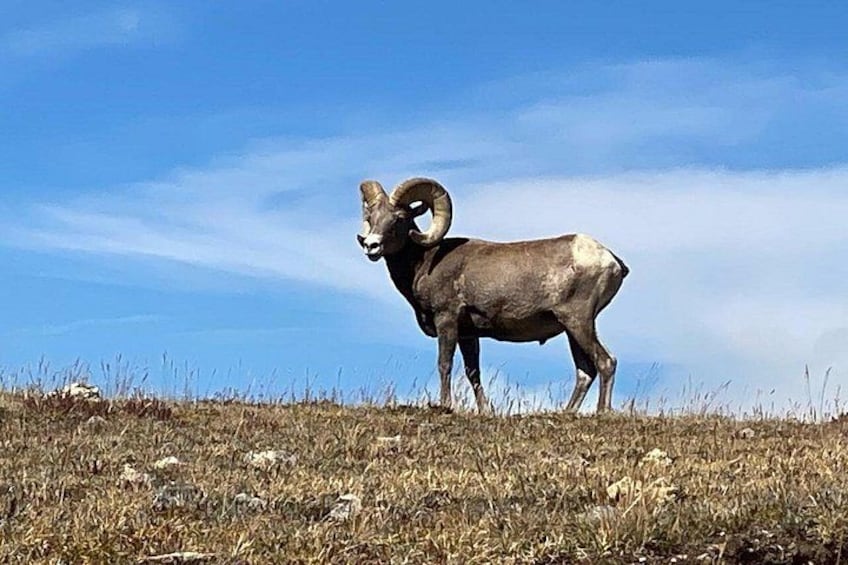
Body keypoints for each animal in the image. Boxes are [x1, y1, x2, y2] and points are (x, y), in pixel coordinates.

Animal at [357, 177, 629, 413]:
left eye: (399, 218)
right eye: (371, 217)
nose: (371, 245)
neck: (424, 262)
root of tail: (610, 260)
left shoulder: (447, 320)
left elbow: (445, 364)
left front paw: (445, 405)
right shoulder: (468, 334)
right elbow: (473, 372)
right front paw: (484, 410)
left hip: (578, 321)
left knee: (605, 362)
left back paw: (602, 411)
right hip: (571, 329)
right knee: (585, 371)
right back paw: (566, 412)